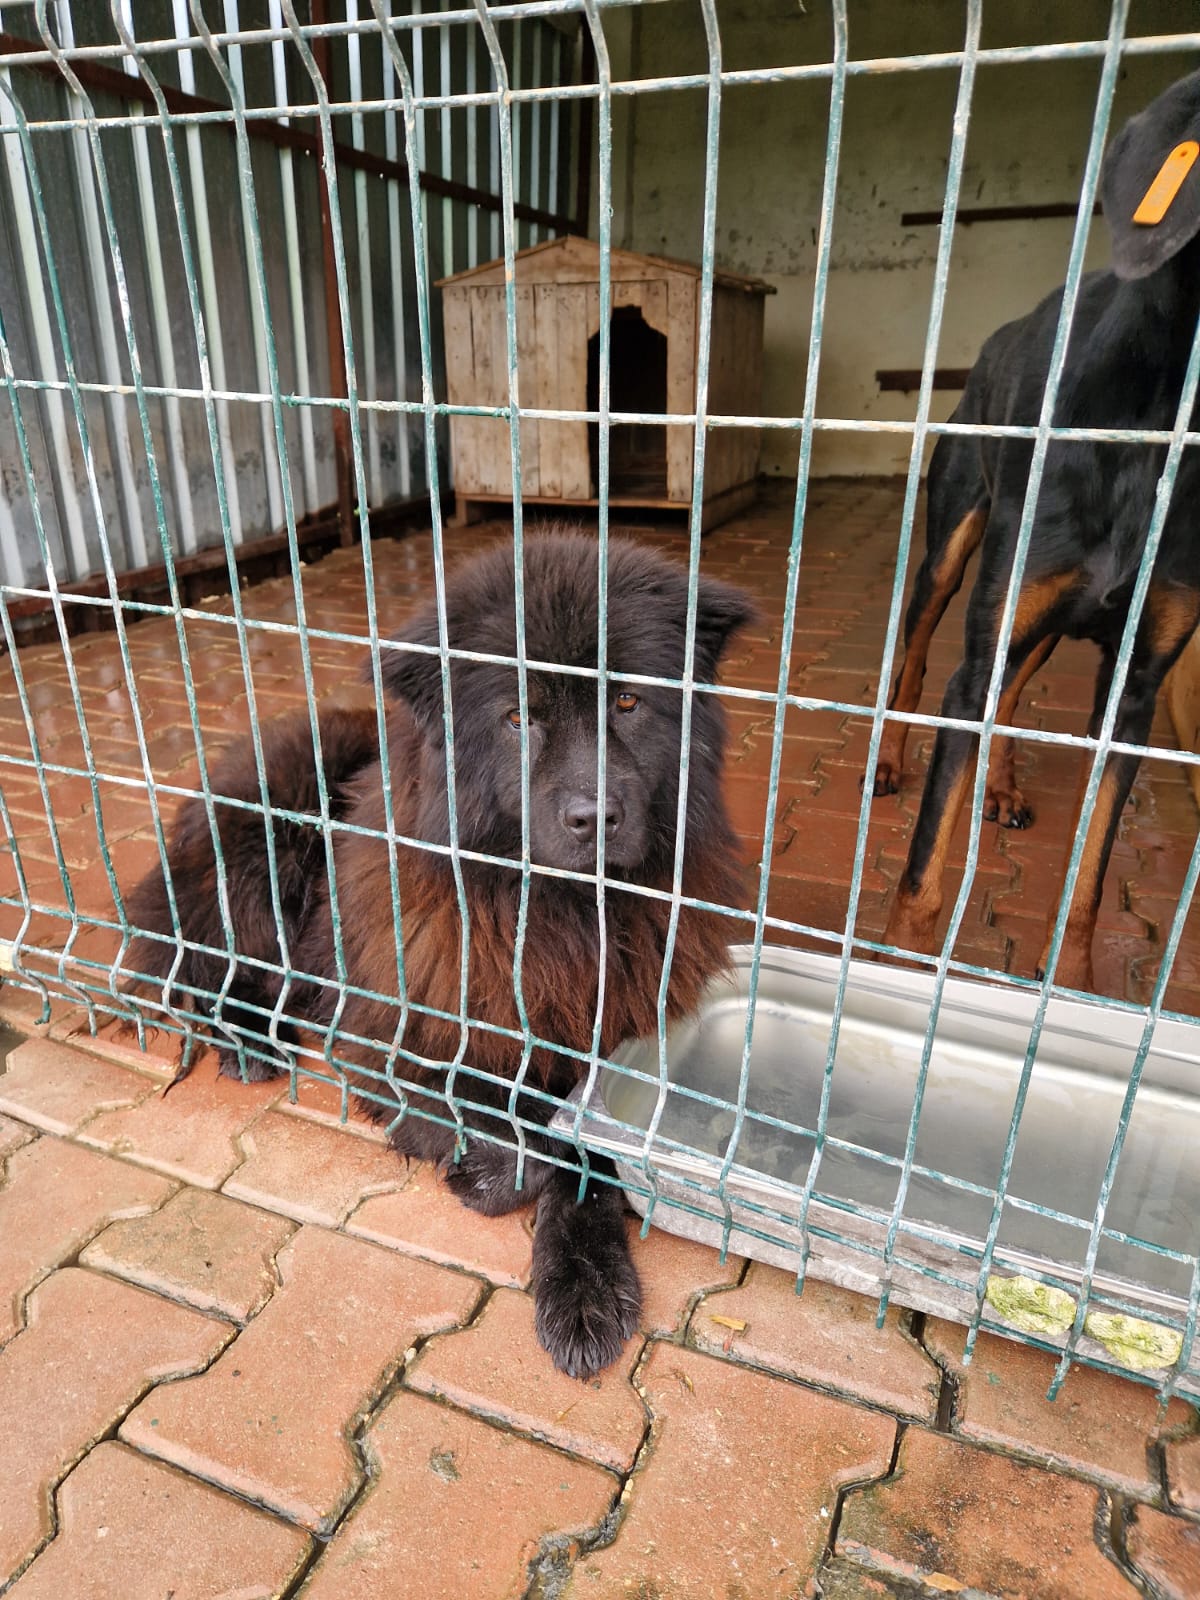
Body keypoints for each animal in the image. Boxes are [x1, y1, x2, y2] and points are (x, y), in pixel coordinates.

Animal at [126, 533, 753, 1377]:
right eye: (520, 716)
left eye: (628, 703)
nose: (595, 816)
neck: (551, 915)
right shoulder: (393, 1037)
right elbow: (517, 1131)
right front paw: (489, 1170)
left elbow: (585, 1152)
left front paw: (584, 1283)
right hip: (271, 846)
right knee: (215, 965)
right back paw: (250, 1040)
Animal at [869, 69, 1200, 992]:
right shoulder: (987, 636)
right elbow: (922, 869)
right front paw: (899, 968)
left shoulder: (1134, 693)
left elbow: (1089, 875)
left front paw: (1076, 987)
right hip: (952, 554)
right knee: (916, 663)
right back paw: (892, 761)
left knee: (1014, 698)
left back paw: (1004, 786)